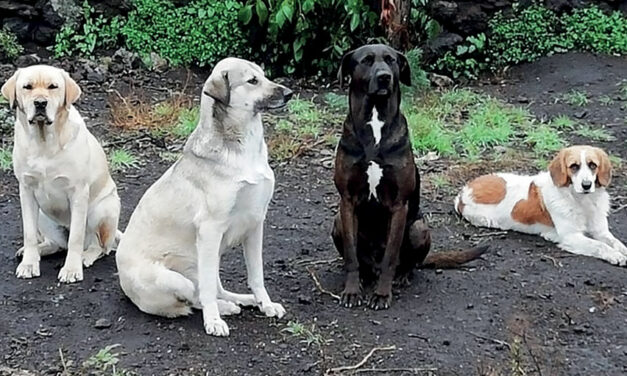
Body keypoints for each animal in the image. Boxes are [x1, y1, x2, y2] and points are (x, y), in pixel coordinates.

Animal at [1, 65, 121, 282]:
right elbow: (29, 234)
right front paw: (29, 264)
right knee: (55, 244)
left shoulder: (78, 192)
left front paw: (71, 269)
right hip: (43, 215)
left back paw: (85, 256)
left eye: (53, 87)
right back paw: (33, 252)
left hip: (102, 209)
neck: (43, 142)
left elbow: (75, 237)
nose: (40, 103)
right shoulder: (26, 190)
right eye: (27, 87)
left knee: (99, 247)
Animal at [116, 57, 294, 336]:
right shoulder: (210, 229)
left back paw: (240, 300)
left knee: (214, 288)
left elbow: (256, 276)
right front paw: (213, 322)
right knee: (196, 297)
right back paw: (223, 309)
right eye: (252, 81)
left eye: (264, 75)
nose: (289, 93)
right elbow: (208, 291)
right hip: (178, 276)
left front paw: (265, 304)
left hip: (209, 257)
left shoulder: (255, 224)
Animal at [332, 44, 488, 310]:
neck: (376, 124)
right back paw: (364, 276)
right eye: (366, 60)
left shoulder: (399, 205)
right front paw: (352, 291)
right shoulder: (347, 201)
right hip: (337, 223)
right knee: (361, 262)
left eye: (391, 60)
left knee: (408, 263)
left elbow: (390, 256)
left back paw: (402, 276)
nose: (385, 77)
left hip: (418, 227)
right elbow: (352, 256)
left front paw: (382, 294)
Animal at [456, 145, 627, 266]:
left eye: (593, 165)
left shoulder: (601, 231)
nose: (586, 185)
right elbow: (600, 245)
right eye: (574, 166)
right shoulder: (571, 236)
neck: (582, 201)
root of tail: (463, 192)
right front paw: (615, 255)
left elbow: (616, 242)